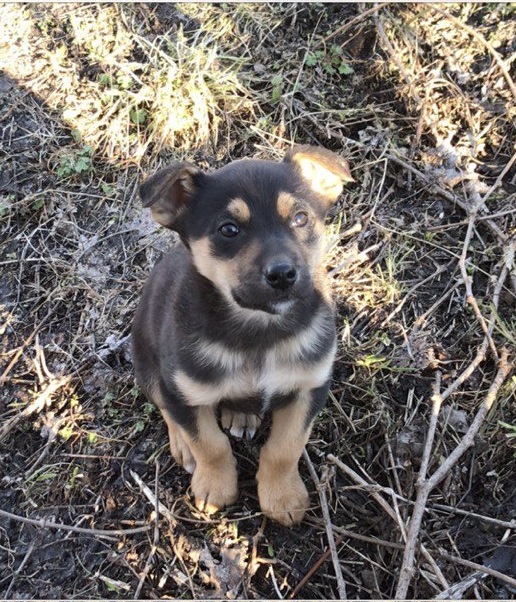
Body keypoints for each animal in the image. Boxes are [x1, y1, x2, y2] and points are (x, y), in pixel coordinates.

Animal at [131, 145, 352, 524]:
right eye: (229, 229)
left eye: (300, 218)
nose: (283, 274)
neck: (259, 332)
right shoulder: (182, 388)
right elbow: (209, 443)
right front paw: (214, 487)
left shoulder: (310, 386)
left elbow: (286, 446)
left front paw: (283, 497)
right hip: (146, 362)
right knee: (165, 407)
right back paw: (183, 446)